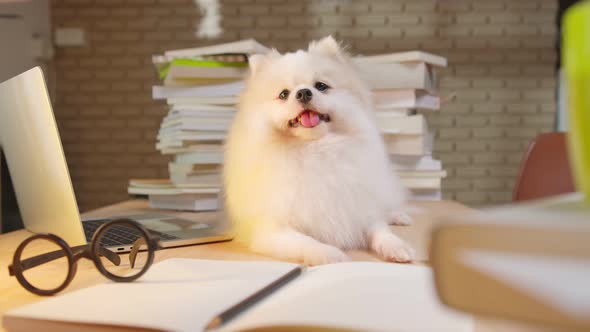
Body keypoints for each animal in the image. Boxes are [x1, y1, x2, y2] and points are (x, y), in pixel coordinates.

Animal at [223, 35, 416, 264]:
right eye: (284, 94)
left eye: (321, 86)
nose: (304, 92)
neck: (314, 149)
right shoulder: (272, 230)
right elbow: (307, 243)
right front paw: (333, 255)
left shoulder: (359, 207)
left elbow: (380, 230)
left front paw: (397, 246)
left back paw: (398, 216)